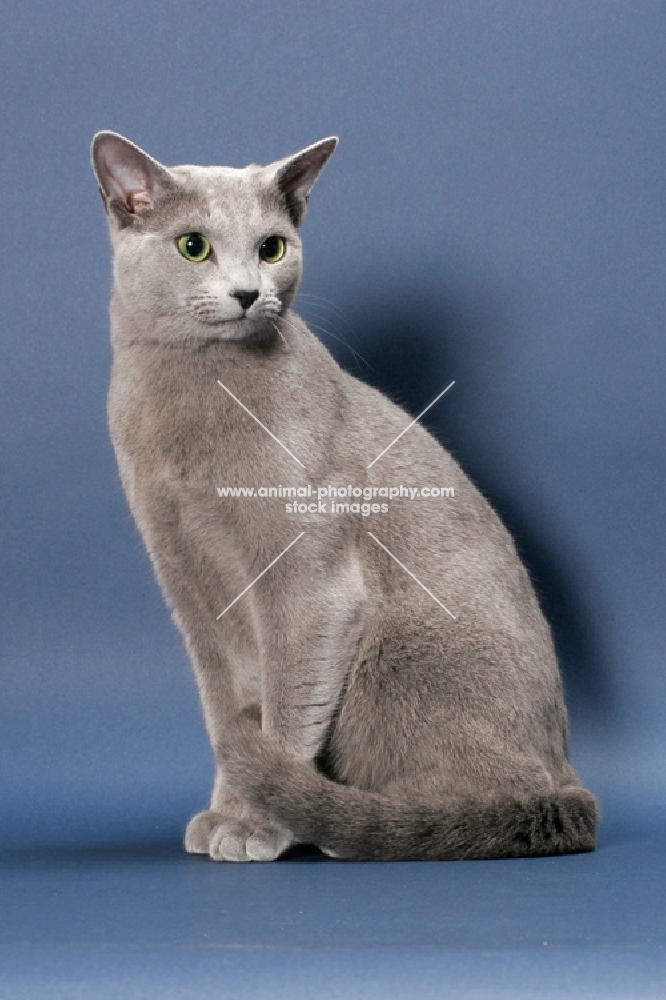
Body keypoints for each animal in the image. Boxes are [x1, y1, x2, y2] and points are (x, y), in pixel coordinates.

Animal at [89, 129, 596, 864]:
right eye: (193, 245)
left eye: (272, 247)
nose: (248, 292)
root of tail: (571, 780)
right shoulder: (190, 585)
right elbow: (226, 704)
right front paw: (228, 812)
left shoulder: (308, 585)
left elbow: (284, 708)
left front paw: (255, 824)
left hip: (402, 650)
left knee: (482, 801)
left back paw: (365, 823)